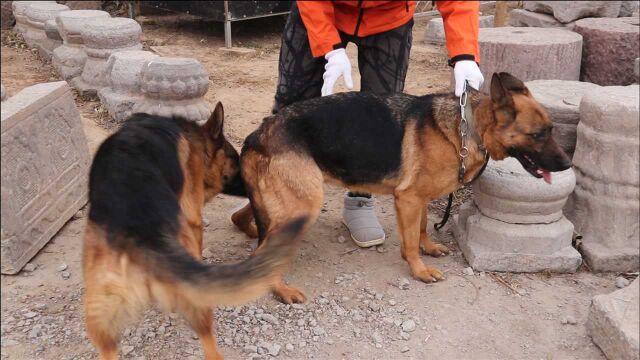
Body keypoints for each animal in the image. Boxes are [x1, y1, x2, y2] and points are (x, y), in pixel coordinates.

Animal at [232, 71, 572, 302]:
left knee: (245, 221)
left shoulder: (418, 199)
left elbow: (420, 228)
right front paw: (419, 270)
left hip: (286, 201)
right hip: (304, 205)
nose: (568, 164)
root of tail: (260, 133)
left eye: (552, 129)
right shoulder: (408, 199)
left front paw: (428, 247)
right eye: (539, 135)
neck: (467, 129)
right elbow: (408, 242)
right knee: (264, 249)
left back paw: (251, 231)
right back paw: (280, 288)